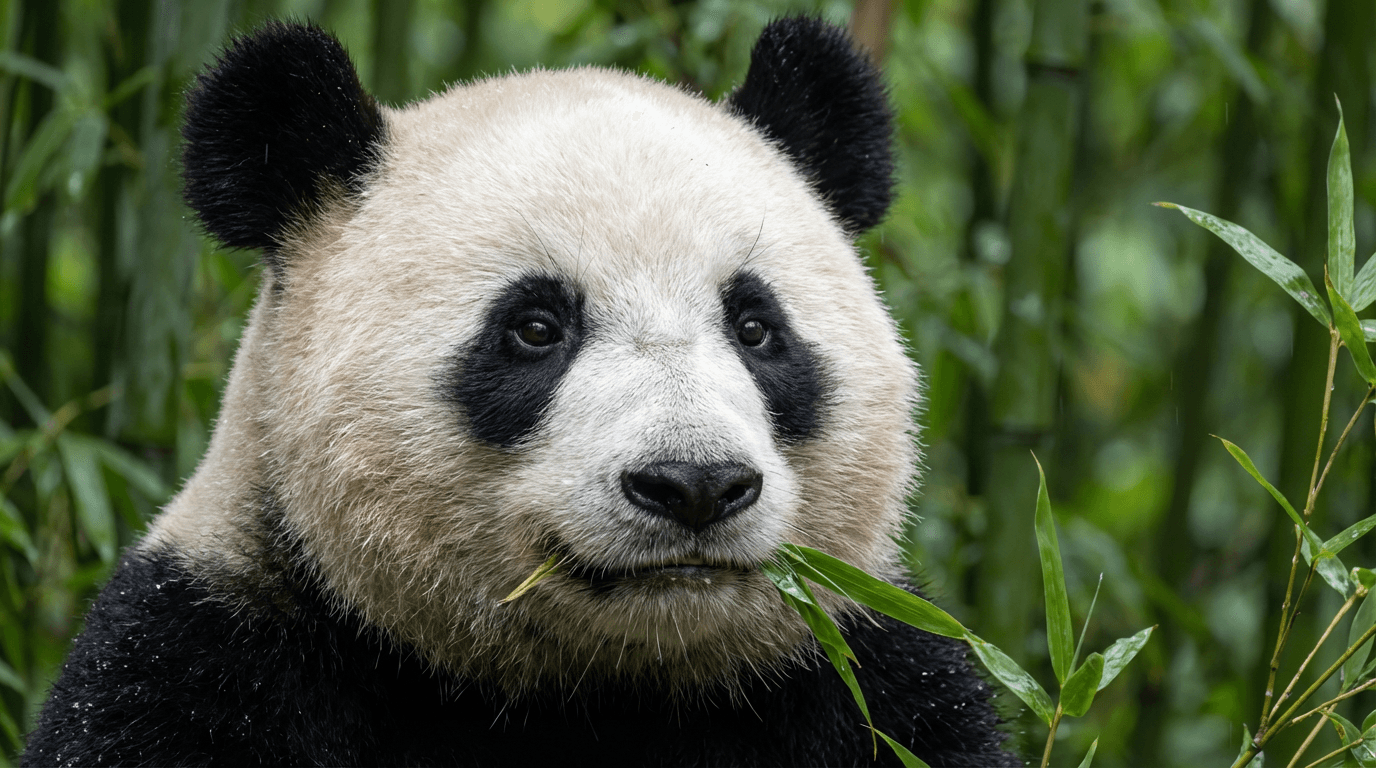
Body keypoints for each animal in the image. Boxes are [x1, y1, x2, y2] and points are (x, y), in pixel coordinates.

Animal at [24, 18, 1018, 768]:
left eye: (755, 327)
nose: (694, 485)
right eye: (535, 329)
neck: (592, 690)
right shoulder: (210, 658)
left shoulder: (866, 677)